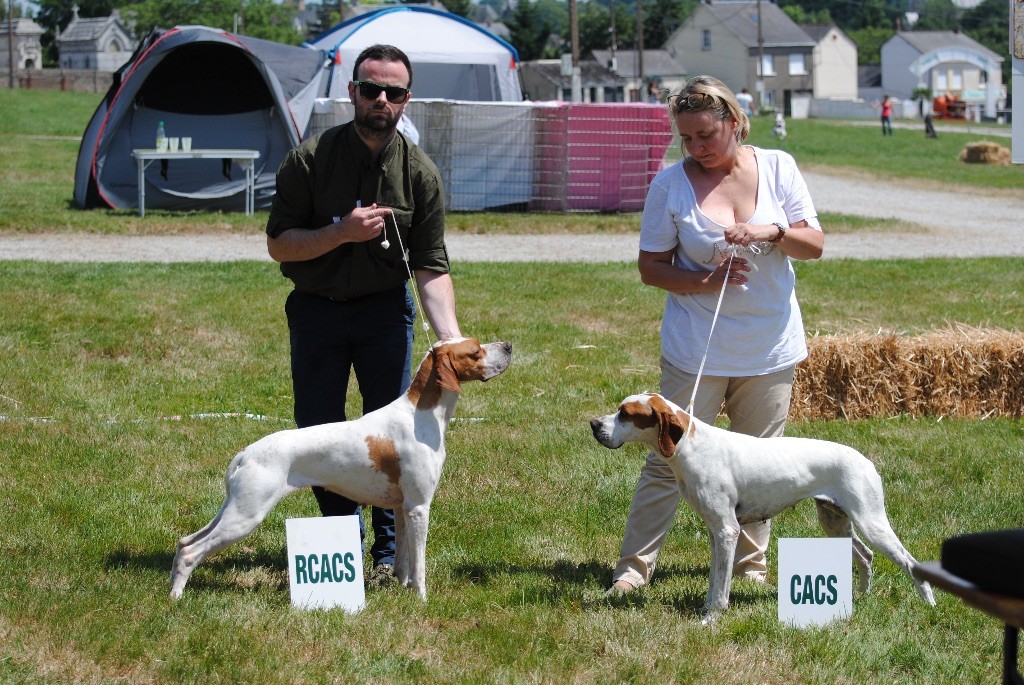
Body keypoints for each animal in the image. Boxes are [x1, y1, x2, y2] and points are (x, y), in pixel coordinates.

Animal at [173, 335, 520, 597]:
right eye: (475, 351)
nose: (507, 345)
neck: (421, 414)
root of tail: (246, 453)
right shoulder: (420, 506)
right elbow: (419, 562)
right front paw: (421, 597)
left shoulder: (402, 507)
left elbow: (404, 558)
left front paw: (402, 587)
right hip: (246, 516)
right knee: (191, 552)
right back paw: (176, 598)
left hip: (233, 510)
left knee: (185, 542)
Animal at [593, 389, 937, 618]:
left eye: (626, 414)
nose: (594, 424)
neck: (691, 446)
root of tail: (866, 460)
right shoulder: (716, 532)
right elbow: (715, 580)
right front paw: (707, 608)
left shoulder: (728, 531)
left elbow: (721, 587)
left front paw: (711, 618)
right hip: (836, 522)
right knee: (865, 557)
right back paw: (862, 597)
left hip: (872, 523)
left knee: (910, 563)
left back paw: (929, 604)